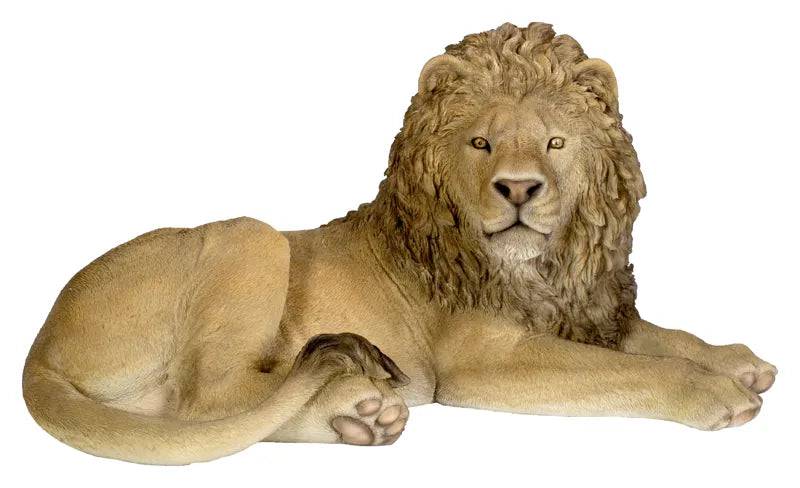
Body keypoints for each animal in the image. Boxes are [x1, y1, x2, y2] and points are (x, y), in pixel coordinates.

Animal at [22, 22, 777, 465]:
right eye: (481, 143)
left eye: (557, 143)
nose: (519, 189)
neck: (543, 269)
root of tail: (42, 342)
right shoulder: (483, 360)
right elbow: (631, 369)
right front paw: (715, 394)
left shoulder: (589, 313)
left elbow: (660, 337)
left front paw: (737, 361)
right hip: (251, 236)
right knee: (208, 399)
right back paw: (359, 403)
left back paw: (363, 417)